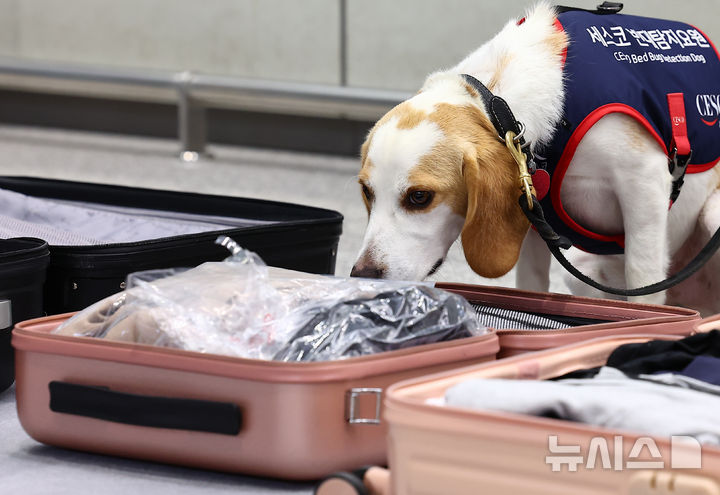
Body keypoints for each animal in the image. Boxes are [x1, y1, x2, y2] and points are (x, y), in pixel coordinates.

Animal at [352, 2, 720, 314]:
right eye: (367, 192)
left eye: (419, 197)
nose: (362, 274)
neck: (499, 102)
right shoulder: (531, 213)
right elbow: (531, 287)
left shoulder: (643, 182)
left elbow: (643, 280)